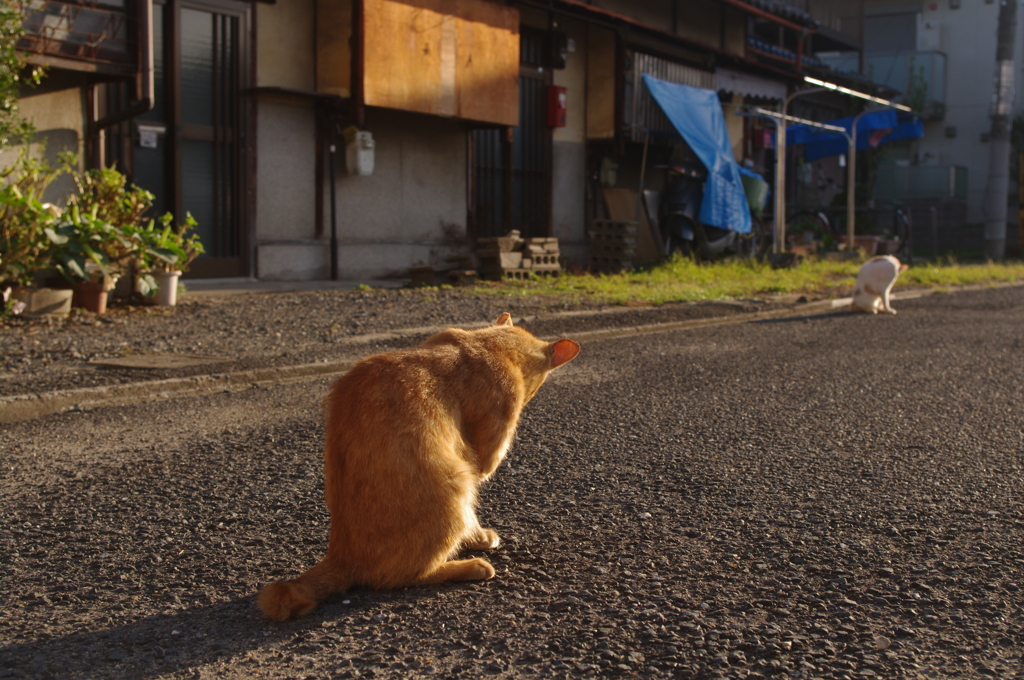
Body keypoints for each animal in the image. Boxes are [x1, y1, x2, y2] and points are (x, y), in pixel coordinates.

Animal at [258, 313, 577, 622]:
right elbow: (475, 503)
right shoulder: (481, 458)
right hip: (455, 485)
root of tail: (340, 554)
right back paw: (471, 567)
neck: (488, 345)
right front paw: (479, 539)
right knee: (405, 576)